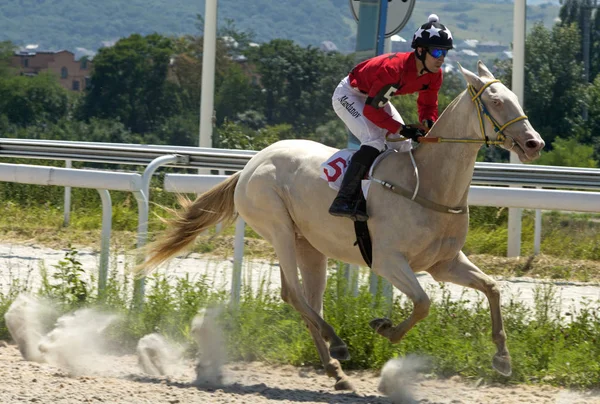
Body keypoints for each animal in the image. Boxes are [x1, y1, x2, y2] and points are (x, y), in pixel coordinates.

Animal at [138, 61, 548, 390]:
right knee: (293, 294)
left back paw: (336, 372)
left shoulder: (443, 263)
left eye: (515, 97)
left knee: (308, 300)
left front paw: (503, 359)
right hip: (278, 228)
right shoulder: (387, 261)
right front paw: (385, 327)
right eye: (496, 101)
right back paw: (337, 344)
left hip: (309, 245)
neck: (428, 182)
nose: (534, 143)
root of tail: (251, 164)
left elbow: (492, 288)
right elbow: (423, 303)